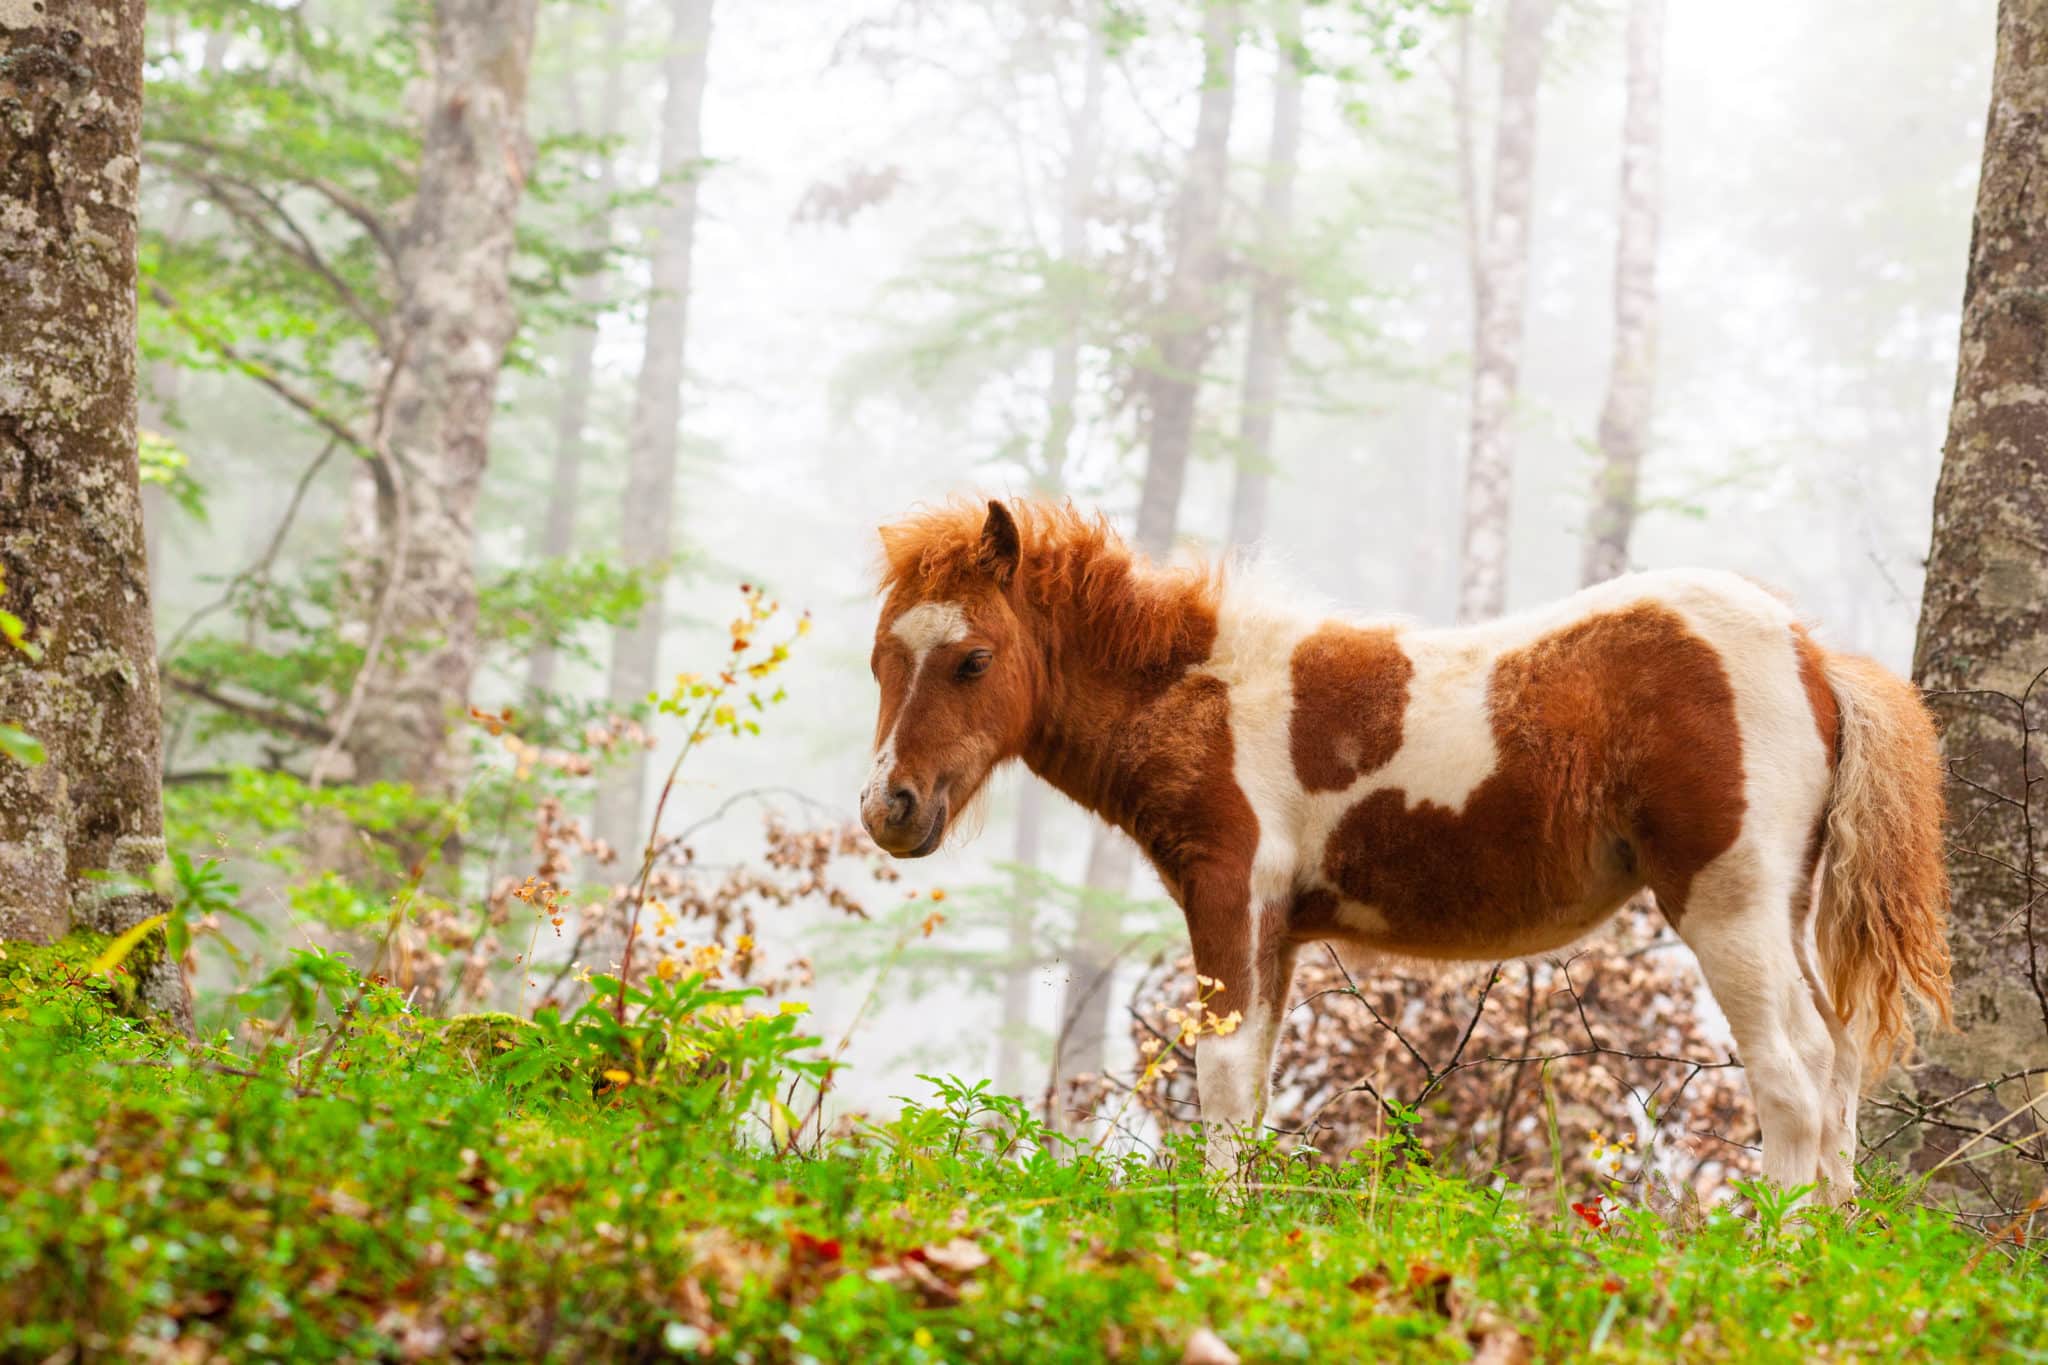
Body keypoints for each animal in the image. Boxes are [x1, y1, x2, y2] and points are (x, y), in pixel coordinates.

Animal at [856, 501, 1941, 1195]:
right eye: (879, 660)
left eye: (972, 660)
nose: (888, 808)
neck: (1204, 693)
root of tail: (1811, 653)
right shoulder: (1277, 929)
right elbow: (1251, 1086)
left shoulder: (1227, 893)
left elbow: (1218, 1074)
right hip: (1782, 906)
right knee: (1839, 1065)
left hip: (1727, 903)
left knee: (1792, 1073)